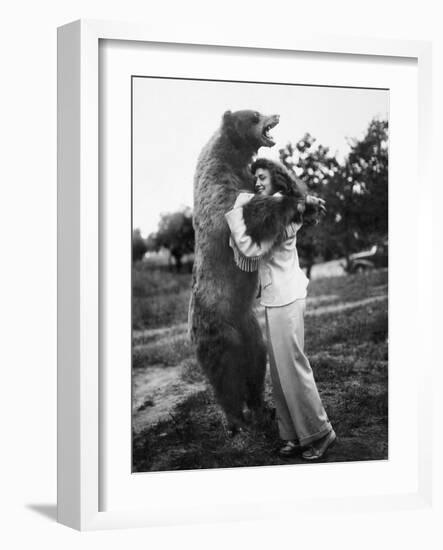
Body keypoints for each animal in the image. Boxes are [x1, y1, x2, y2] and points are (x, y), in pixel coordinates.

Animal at [191, 109, 308, 436]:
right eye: (254, 115)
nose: (275, 114)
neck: (231, 154)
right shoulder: (218, 189)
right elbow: (243, 213)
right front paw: (292, 200)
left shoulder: (242, 175)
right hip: (219, 327)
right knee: (226, 374)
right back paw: (237, 420)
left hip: (249, 325)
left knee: (256, 360)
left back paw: (262, 408)